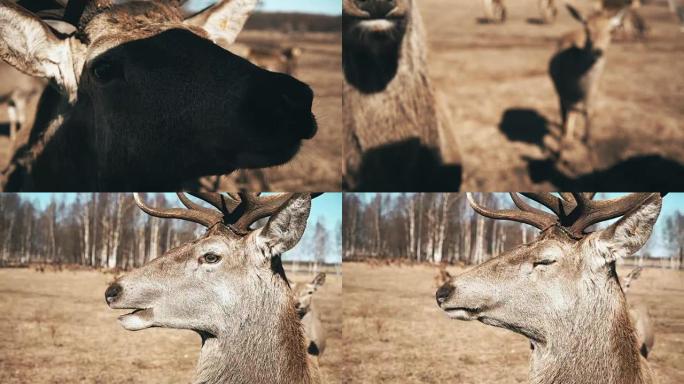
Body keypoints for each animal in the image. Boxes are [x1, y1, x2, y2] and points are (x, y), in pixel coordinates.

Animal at [548, 4, 628, 146]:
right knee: (564, 109)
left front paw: (587, 140)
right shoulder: (565, 91)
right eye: (587, 29)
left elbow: (588, 111)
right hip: (559, 89)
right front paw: (566, 140)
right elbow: (569, 110)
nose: (598, 51)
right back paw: (564, 131)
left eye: (611, 31)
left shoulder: (592, 90)